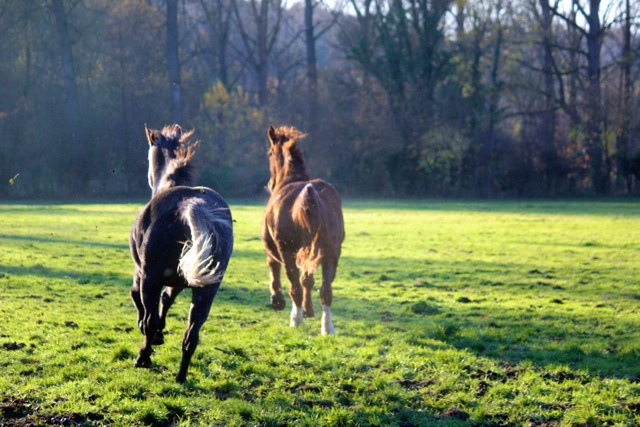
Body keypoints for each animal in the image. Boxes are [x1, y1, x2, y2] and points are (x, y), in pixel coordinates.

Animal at [128, 124, 232, 384]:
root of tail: (191, 204)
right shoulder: (178, 282)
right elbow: (167, 299)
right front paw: (160, 335)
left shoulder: (142, 275)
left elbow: (140, 303)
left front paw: (152, 336)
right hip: (206, 291)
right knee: (191, 336)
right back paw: (181, 376)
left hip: (151, 279)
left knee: (151, 321)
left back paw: (143, 358)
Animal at [262, 125, 344, 336]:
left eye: (270, 152)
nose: (270, 184)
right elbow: (308, 280)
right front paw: (309, 310)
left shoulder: (273, 248)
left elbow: (273, 267)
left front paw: (277, 300)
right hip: (331, 253)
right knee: (325, 291)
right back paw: (327, 327)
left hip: (288, 251)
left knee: (295, 286)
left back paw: (296, 320)